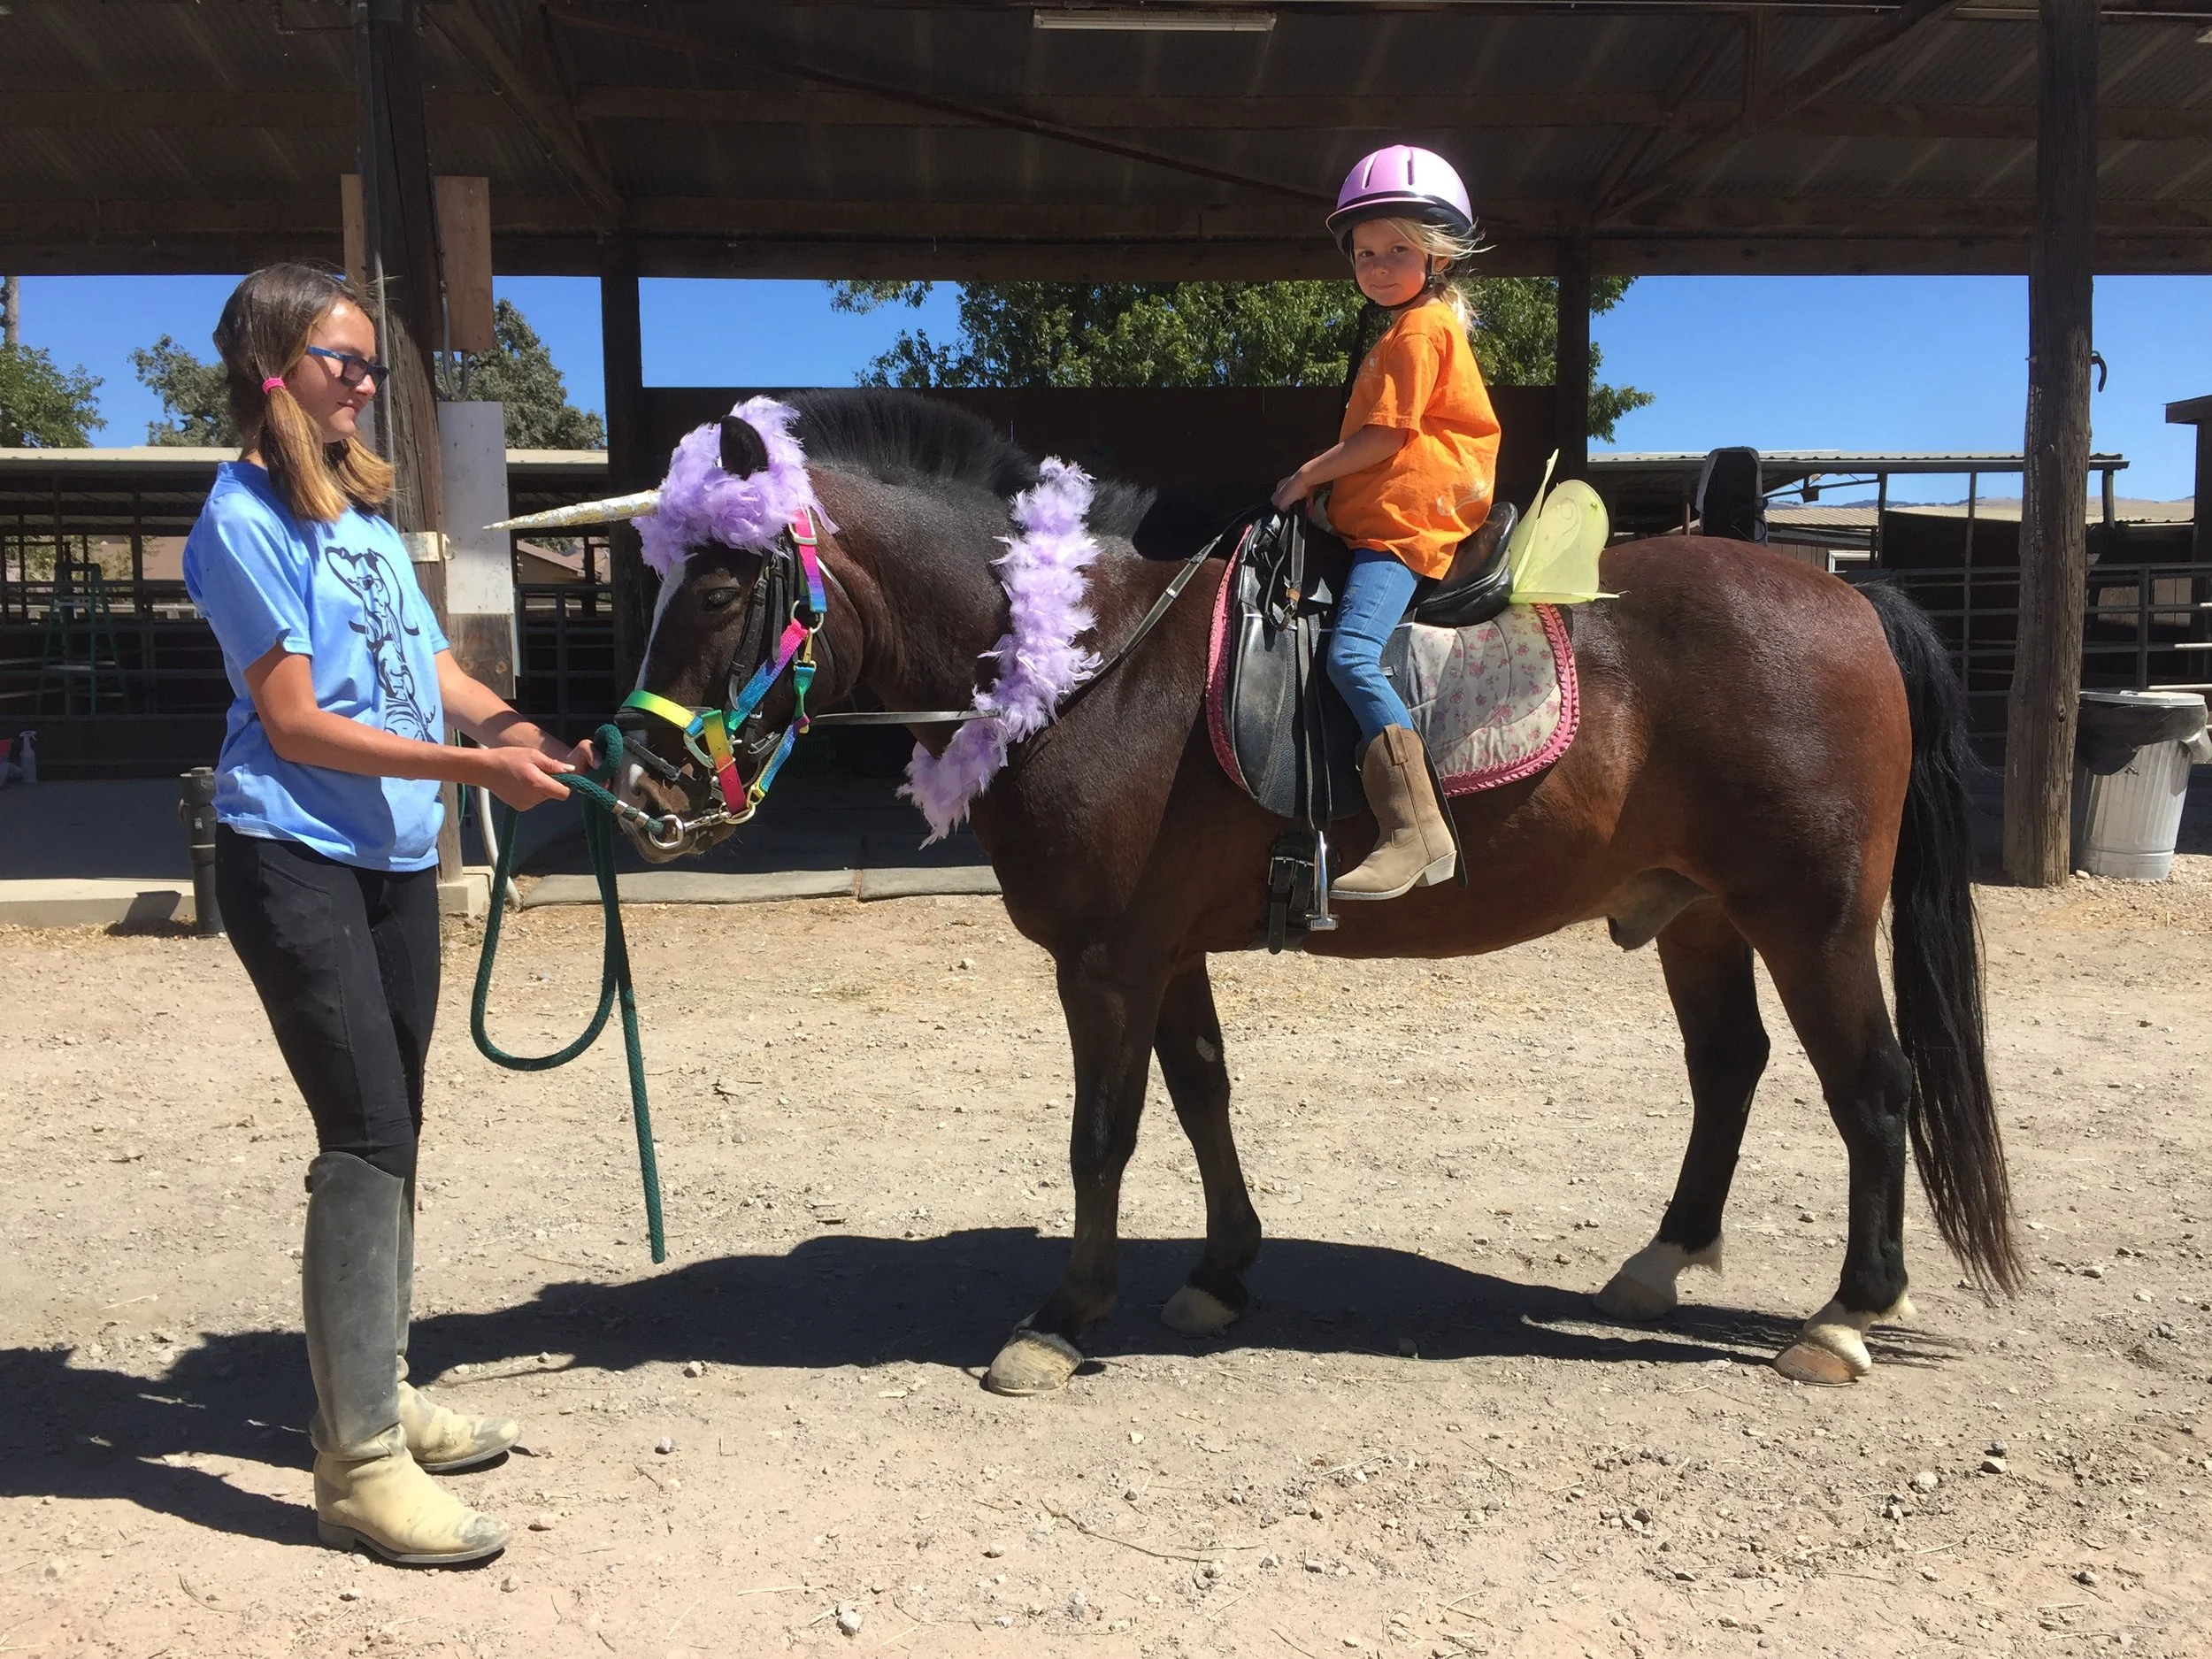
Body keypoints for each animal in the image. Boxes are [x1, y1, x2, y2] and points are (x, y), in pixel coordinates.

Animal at [608, 389, 2019, 1397]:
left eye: (722, 585)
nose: (637, 782)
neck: (1096, 662)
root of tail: (1846, 592)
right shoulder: (1166, 950)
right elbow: (1201, 1096)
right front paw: (1222, 1273)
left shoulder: (1105, 959)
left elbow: (1102, 1133)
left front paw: (1063, 1317)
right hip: (1700, 916)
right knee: (1730, 1067)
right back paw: (1662, 1260)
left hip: (1811, 916)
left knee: (1873, 1087)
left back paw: (1847, 1314)